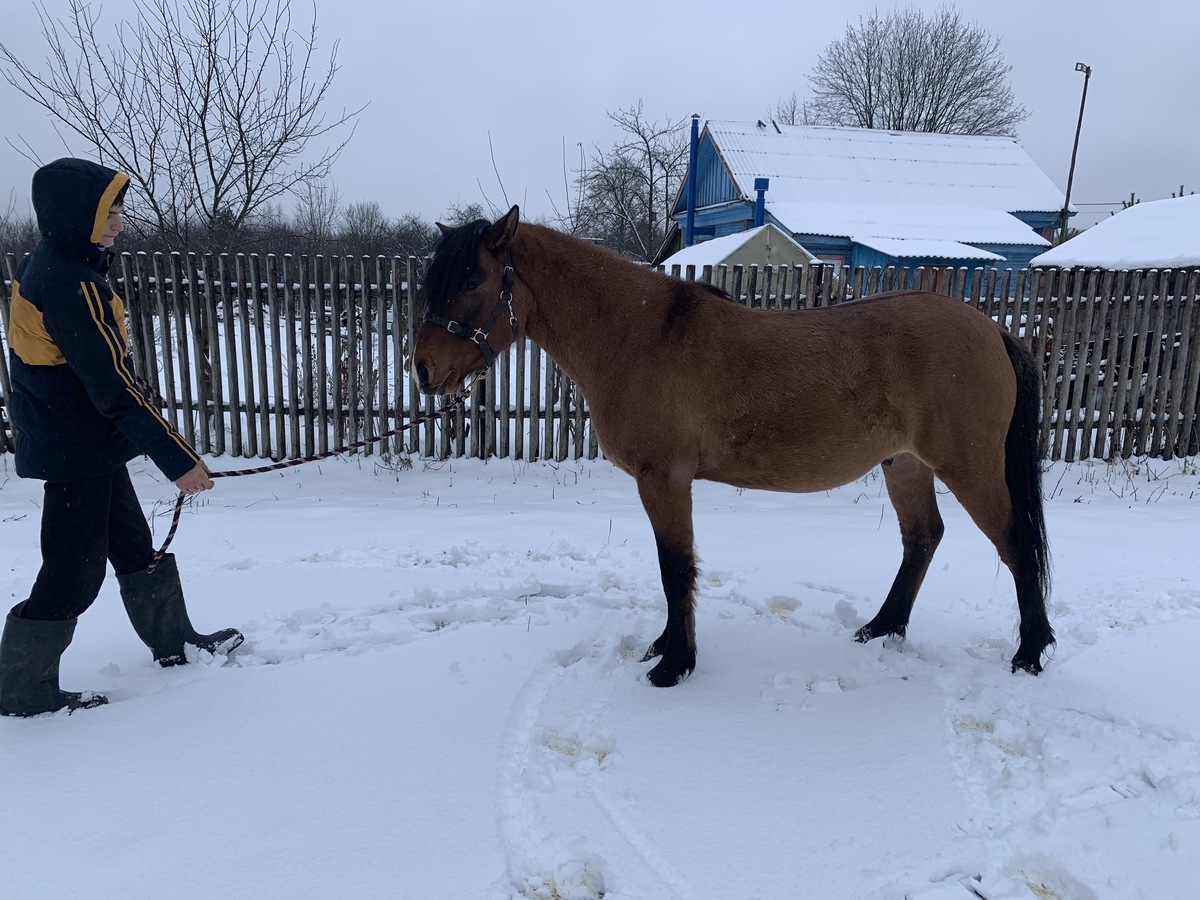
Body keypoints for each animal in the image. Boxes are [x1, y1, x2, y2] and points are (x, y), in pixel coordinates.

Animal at [412, 207, 1051, 686]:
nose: (423, 370)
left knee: (1015, 541)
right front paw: (665, 648)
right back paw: (882, 628)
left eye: (470, 281)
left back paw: (1029, 653)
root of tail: (992, 328)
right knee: (922, 538)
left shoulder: (664, 479)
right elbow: (674, 567)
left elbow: (675, 567)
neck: (638, 331)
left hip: (968, 468)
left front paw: (675, 665)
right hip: (907, 465)